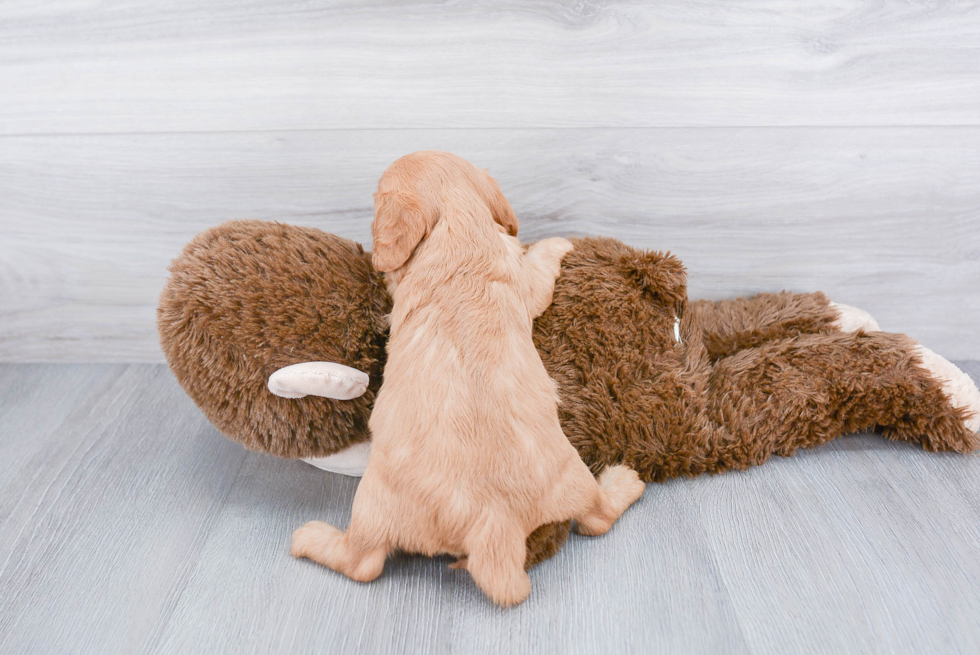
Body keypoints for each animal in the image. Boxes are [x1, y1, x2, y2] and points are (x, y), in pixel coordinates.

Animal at [288, 151, 648, 608]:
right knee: (597, 517)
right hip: (573, 478)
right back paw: (624, 483)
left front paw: (555, 242)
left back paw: (310, 538)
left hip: (371, 504)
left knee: (361, 563)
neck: (458, 224)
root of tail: (496, 522)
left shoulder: (524, 282)